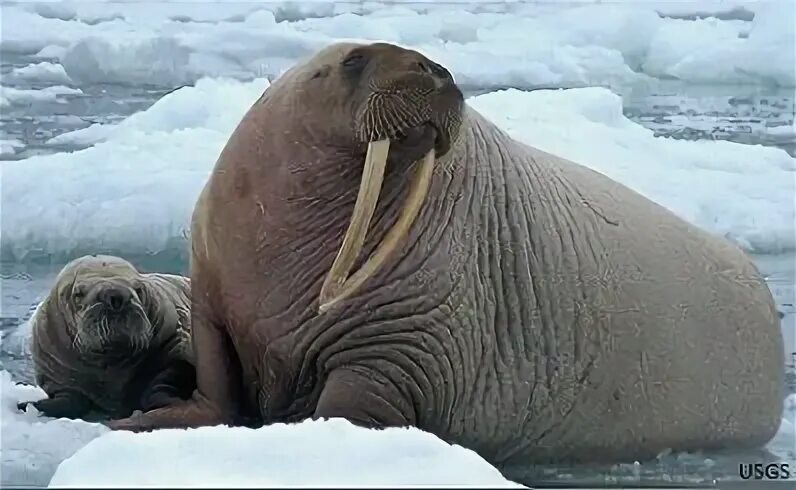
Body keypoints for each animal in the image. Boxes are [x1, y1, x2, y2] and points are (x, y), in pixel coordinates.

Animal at [17, 255, 195, 420]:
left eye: (138, 289)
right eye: (78, 294)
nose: (116, 295)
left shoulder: (175, 343)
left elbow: (162, 381)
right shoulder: (55, 372)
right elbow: (68, 399)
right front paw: (26, 405)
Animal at [105, 45, 784, 474]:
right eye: (353, 60)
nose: (434, 70)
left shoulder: (400, 341)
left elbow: (353, 405)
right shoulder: (214, 294)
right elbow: (217, 379)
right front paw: (137, 424)